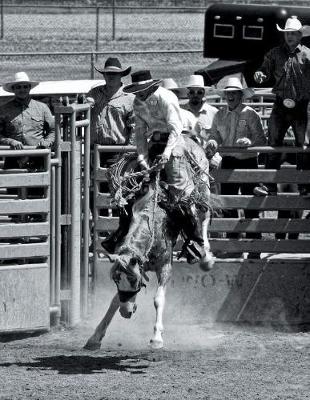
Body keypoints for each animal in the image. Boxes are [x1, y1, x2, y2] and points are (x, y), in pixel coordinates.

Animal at [85, 136, 216, 348]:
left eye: (133, 280)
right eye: (116, 280)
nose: (126, 312)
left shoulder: (165, 266)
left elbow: (158, 299)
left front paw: (156, 337)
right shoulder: (138, 264)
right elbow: (114, 301)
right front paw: (95, 337)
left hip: (202, 186)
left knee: (203, 216)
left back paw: (204, 256)